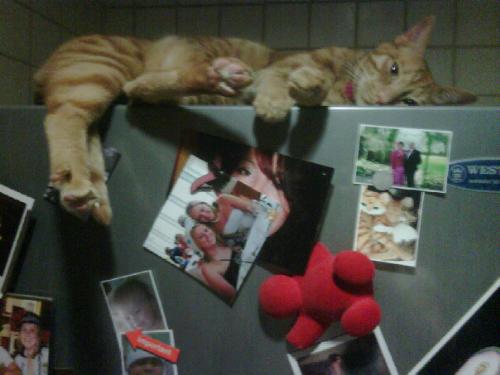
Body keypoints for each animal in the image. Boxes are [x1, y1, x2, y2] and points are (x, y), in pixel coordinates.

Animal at [250, 15, 476, 122]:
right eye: (394, 69)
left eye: (409, 102)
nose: (382, 99)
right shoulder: (279, 66)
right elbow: (276, 74)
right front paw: (274, 100)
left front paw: (313, 84)